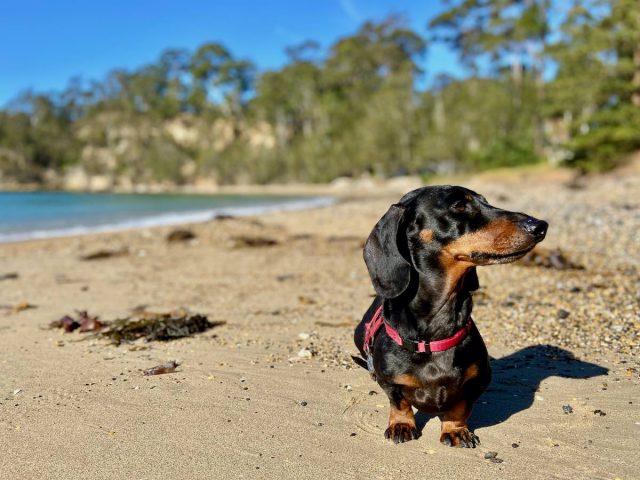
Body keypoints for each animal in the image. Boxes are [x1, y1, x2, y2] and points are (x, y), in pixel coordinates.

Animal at [352, 187, 548, 446]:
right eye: (459, 206)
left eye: (486, 201)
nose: (540, 226)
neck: (434, 334)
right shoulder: (390, 382)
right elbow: (399, 401)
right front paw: (402, 424)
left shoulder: (479, 381)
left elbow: (460, 407)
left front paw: (455, 429)